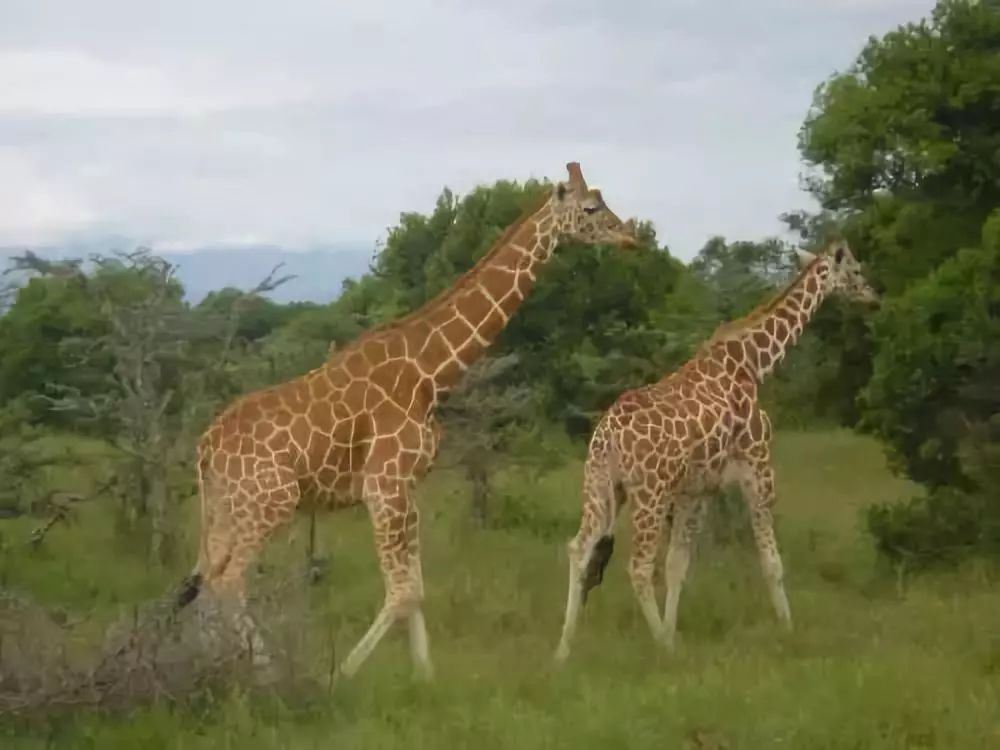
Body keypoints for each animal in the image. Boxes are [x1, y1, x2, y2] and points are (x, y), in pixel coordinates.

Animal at [176, 163, 636, 680]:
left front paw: (425, 676)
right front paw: (344, 674)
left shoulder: (406, 485)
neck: (429, 373)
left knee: (207, 582)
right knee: (228, 582)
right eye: (591, 208)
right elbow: (403, 591)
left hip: (227, 508)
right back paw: (267, 673)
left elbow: (415, 590)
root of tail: (206, 447)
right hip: (270, 502)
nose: (631, 237)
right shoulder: (385, 485)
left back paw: (211, 667)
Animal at [560, 241, 880, 664]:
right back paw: (659, 646)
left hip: (602, 488)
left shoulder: (697, 489)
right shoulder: (758, 468)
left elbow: (677, 564)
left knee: (579, 549)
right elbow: (771, 562)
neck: (753, 362)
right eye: (857, 271)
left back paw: (563, 650)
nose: (875, 299)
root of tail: (606, 437)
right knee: (638, 566)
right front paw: (788, 630)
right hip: (648, 494)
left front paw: (674, 631)